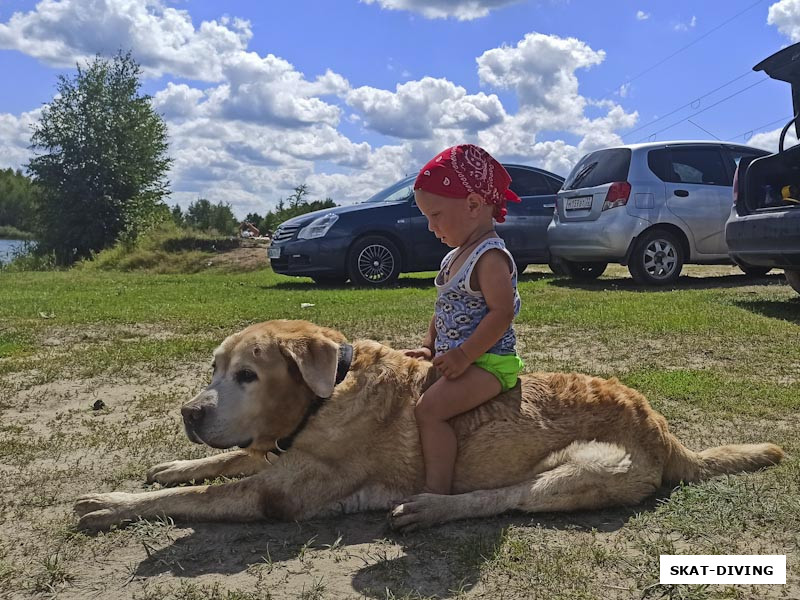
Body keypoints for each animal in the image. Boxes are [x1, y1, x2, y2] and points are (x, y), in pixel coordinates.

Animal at [73, 322, 780, 532]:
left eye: (248, 375)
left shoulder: (279, 493)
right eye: (215, 369)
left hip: (583, 467)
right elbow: (220, 463)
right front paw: (174, 462)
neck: (328, 395)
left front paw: (112, 503)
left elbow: (202, 496)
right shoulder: (273, 451)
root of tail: (663, 428)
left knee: (504, 498)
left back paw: (432, 508)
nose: (190, 413)